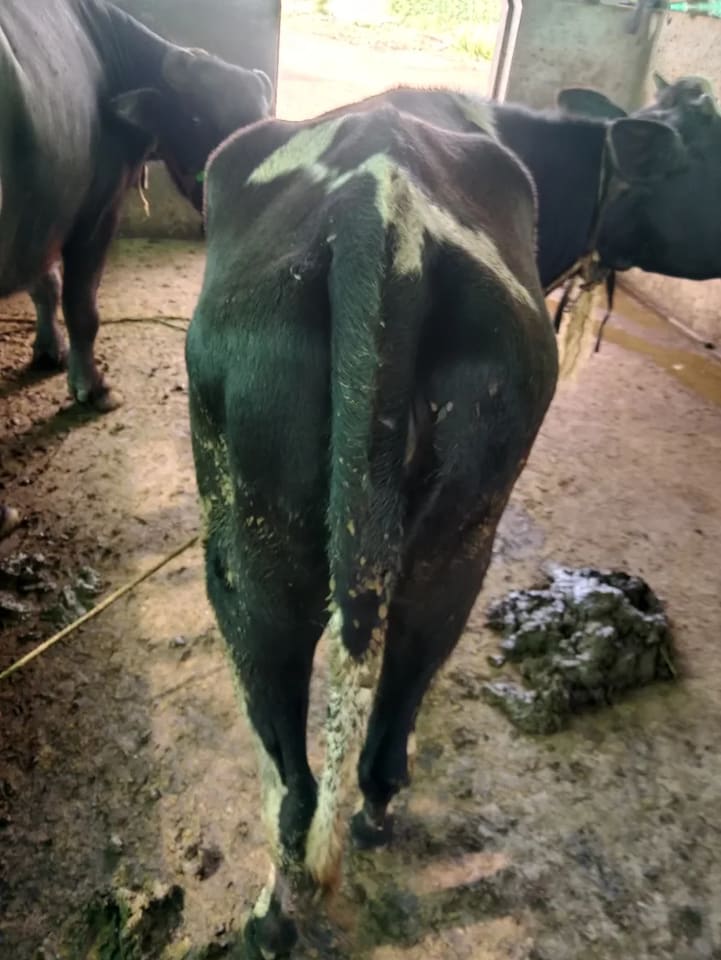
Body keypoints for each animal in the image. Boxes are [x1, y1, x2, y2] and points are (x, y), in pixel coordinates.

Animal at [0, 0, 272, 411]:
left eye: (265, 118)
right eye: (196, 118)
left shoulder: (43, 212)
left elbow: (44, 282)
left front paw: (49, 350)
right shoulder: (96, 212)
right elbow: (80, 305)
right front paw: (92, 387)